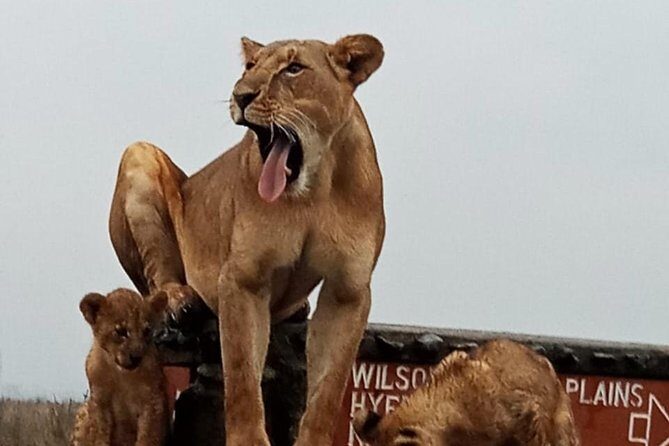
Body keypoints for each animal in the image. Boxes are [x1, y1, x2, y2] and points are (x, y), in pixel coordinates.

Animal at [72, 288, 169, 446]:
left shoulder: (153, 402)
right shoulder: (99, 403)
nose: (136, 356)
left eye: (146, 331)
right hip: (83, 409)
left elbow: (148, 436)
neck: (122, 375)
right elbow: (99, 435)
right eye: (121, 331)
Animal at [108, 34, 385, 445]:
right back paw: (181, 302)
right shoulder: (243, 278)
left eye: (293, 68)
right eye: (250, 66)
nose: (240, 96)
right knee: (157, 279)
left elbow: (328, 389)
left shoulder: (347, 290)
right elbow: (241, 375)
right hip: (139, 153)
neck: (313, 192)